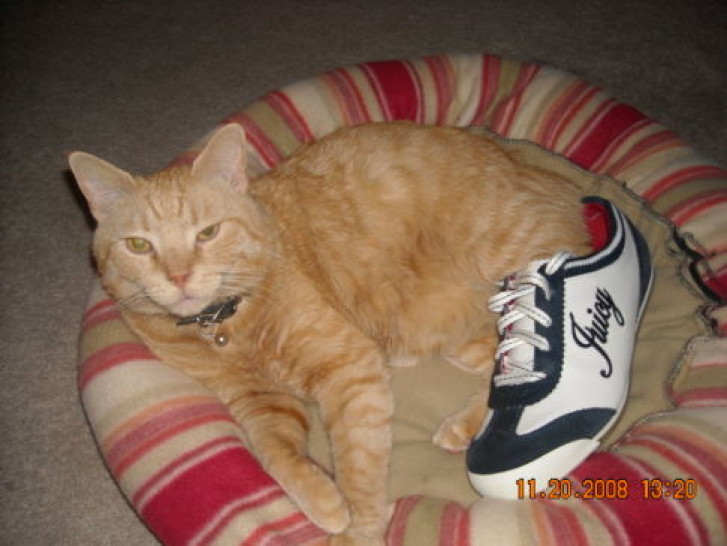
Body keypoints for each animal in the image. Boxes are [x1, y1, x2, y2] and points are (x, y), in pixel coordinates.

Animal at [70, 122, 590, 545]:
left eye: (207, 233)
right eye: (140, 245)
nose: (179, 277)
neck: (226, 327)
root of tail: (553, 182)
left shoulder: (350, 370)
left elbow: (358, 465)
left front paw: (359, 530)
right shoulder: (259, 401)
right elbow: (275, 453)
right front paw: (323, 500)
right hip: (461, 338)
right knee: (502, 375)